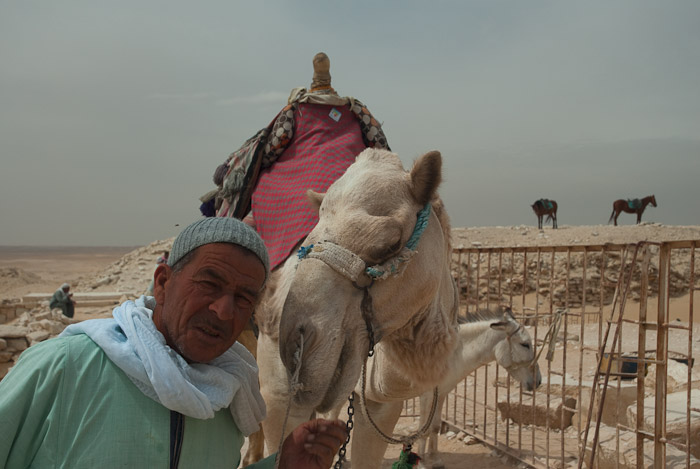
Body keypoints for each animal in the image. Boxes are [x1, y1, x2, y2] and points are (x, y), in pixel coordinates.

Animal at [416, 306, 540, 466]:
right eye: (525, 344)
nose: (538, 381)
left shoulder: (441, 393)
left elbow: (435, 426)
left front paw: (435, 459)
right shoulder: (426, 395)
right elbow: (423, 429)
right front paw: (421, 462)